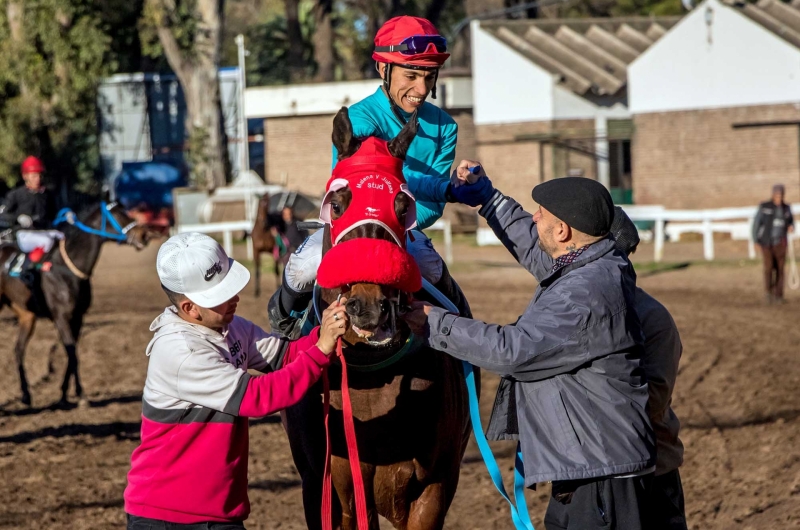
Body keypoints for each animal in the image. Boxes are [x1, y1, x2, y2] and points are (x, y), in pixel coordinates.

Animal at [0, 199, 158, 404]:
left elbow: (71, 353)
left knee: (18, 349)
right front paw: (81, 394)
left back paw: (26, 394)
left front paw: (65, 393)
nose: (144, 234)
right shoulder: (61, 318)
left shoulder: (77, 318)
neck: (67, 270)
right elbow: (72, 353)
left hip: (27, 316)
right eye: (119, 214)